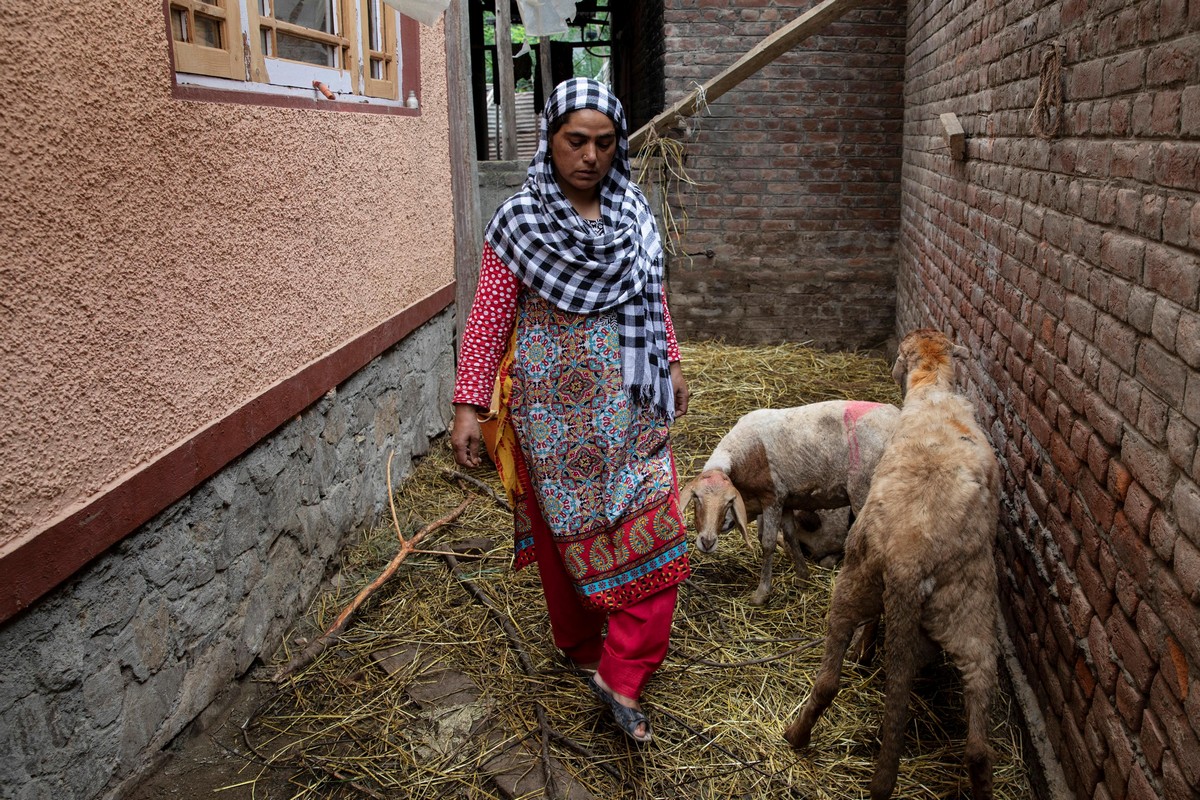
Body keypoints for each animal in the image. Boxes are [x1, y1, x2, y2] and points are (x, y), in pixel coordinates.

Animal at [676, 402, 902, 604]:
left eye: (729, 502)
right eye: (696, 498)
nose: (707, 542)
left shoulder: (772, 497)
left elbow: (767, 543)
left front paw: (761, 594)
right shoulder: (785, 500)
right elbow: (790, 535)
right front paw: (802, 576)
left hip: (862, 492)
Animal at [787, 326, 1003, 800]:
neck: (934, 390)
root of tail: (910, 562)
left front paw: (865, 652)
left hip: (855, 585)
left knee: (832, 680)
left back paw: (798, 736)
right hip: (971, 622)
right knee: (978, 747)